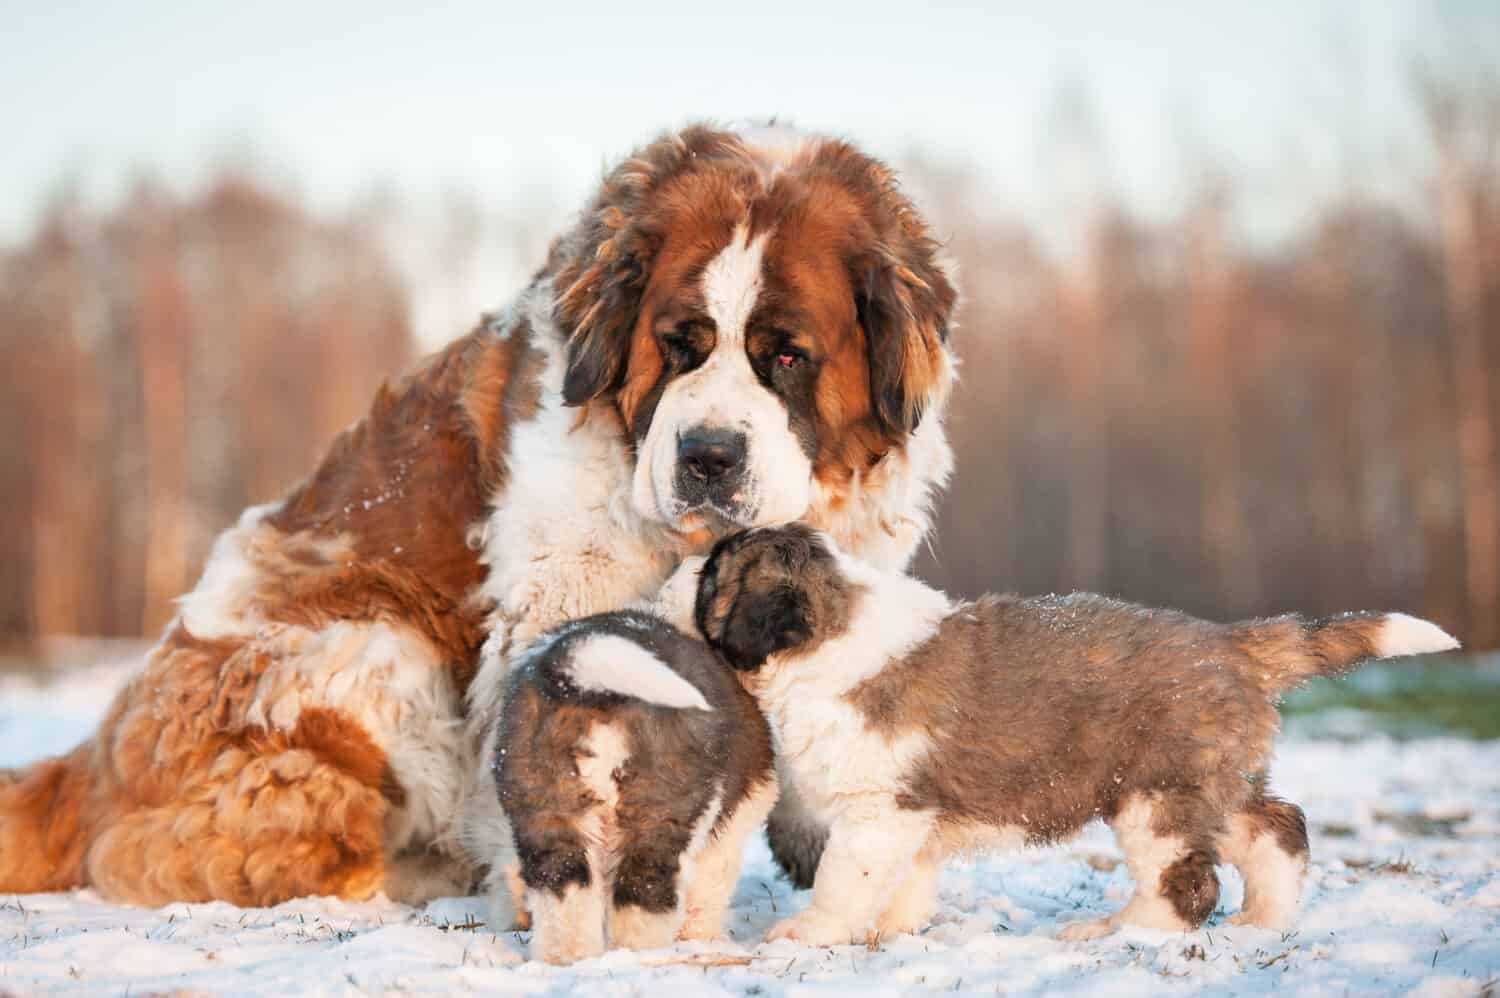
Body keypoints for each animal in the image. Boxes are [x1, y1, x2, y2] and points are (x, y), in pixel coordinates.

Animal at [0, 122, 960, 900]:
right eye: (676, 347)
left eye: (787, 357)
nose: (708, 456)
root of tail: (89, 762)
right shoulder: (567, 594)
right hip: (375, 645)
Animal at [495, 606, 780, 966]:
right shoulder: (731, 824)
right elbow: (710, 885)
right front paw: (701, 936)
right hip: (661, 814)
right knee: (643, 894)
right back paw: (646, 956)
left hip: (544, 805)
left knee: (562, 892)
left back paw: (568, 959)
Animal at [687, 522, 1458, 942]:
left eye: (714, 574)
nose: (688, 562)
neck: (832, 632)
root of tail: (1226, 641)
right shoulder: (910, 817)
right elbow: (901, 883)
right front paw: (893, 932)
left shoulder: (880, 811)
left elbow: (846, 879)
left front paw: (810, 934)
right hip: (1213, 780)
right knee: (1277, 827)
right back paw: (1265, 919)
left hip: (1155, 796)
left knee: (1187, 881)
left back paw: (1124, 930)